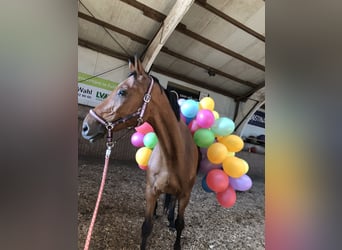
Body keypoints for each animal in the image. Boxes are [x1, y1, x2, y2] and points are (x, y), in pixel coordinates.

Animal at [81, 57, 199, 250]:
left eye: (122, 91)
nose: (85, 127)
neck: (173, 155)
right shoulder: (150, 192)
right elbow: (146, 227)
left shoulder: (185, 195)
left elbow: (181, 223)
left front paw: (175, 232)